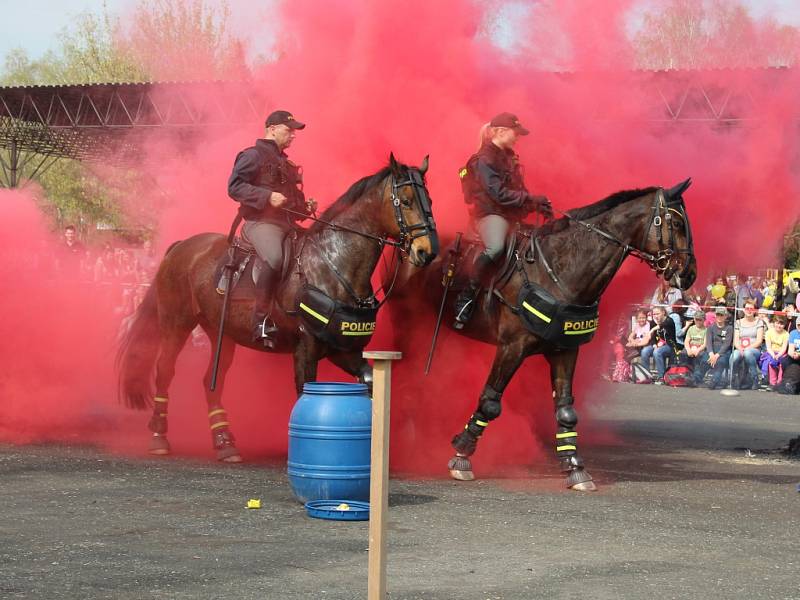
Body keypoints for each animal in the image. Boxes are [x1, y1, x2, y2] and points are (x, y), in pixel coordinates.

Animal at [119, 155, 438, 460]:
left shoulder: (343, 350)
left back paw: (225, 443)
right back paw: (159, 436)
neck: (333, 264)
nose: (427, 251)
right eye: (406, 201)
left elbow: (369, 381)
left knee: (212, 380)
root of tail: (182, 246)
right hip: (176, 324)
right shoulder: (305, 349)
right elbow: (304, 393)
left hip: (221, 334)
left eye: (430, 201)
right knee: (164, 371)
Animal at [394, 180, 692, 490]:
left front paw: (574, 467)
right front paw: (461, 454)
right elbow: (490, 402)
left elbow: (565, 410)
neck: (557, 273)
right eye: (676, 223)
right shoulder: (511, 348)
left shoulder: (565, 351)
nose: (689, 272)